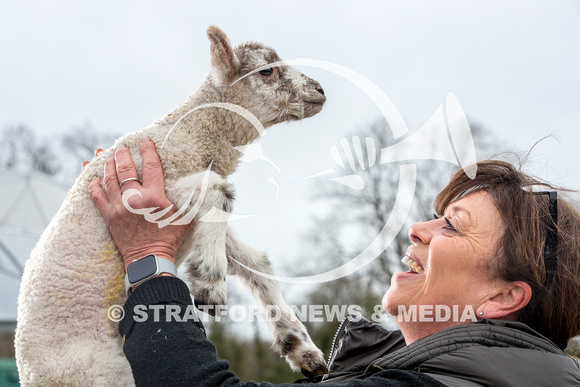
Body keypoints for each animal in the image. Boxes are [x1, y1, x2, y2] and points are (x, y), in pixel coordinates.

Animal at [15, 25, 328, 386]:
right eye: (267, 71)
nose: (321, 91)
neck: (192, 134)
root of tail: (28, 374)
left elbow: (256, 261)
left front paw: (300, 346)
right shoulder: (152, 190)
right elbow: (220, 192)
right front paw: (210, 286)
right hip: (100, 373)